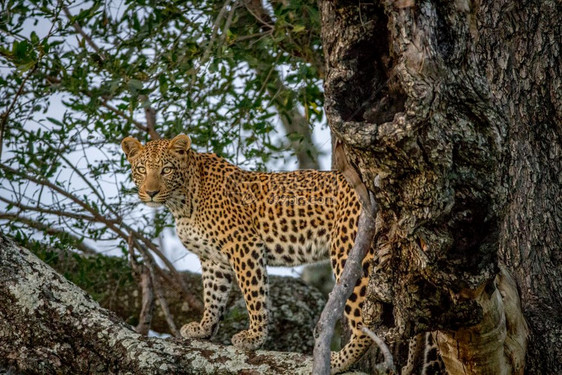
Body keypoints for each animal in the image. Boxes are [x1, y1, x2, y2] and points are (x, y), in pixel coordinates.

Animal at [121, 134, 374, 374]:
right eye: (141, 169)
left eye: (166, 169)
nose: (151, 192)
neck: (182, 203)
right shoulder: (213, 260)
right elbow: (213, 295)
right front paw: (204, 329)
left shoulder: (244, 245)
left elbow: (254, 296)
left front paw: (254, 337)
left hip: (347, 251)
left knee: (364, 322)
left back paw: (339, 360)